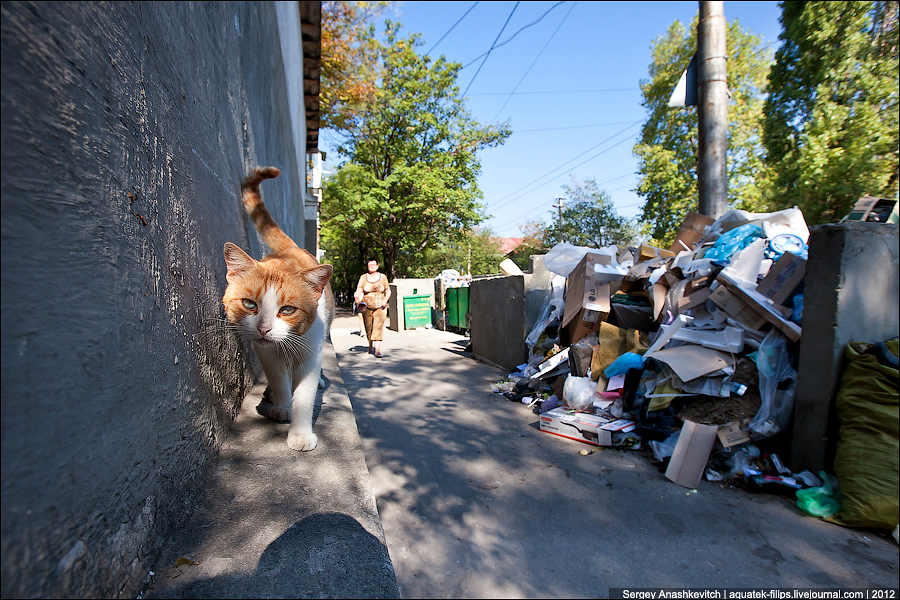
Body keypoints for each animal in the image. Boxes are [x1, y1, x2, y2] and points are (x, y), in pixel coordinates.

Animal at [221, 166, 334, 452]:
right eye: (249, 304)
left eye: (288, 310)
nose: (264, 328)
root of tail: (291, 249)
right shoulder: (266, 353)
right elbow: (279, 381)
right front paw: (282, 407)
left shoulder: (309, 354)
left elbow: (304, 396)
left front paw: (300, 435)